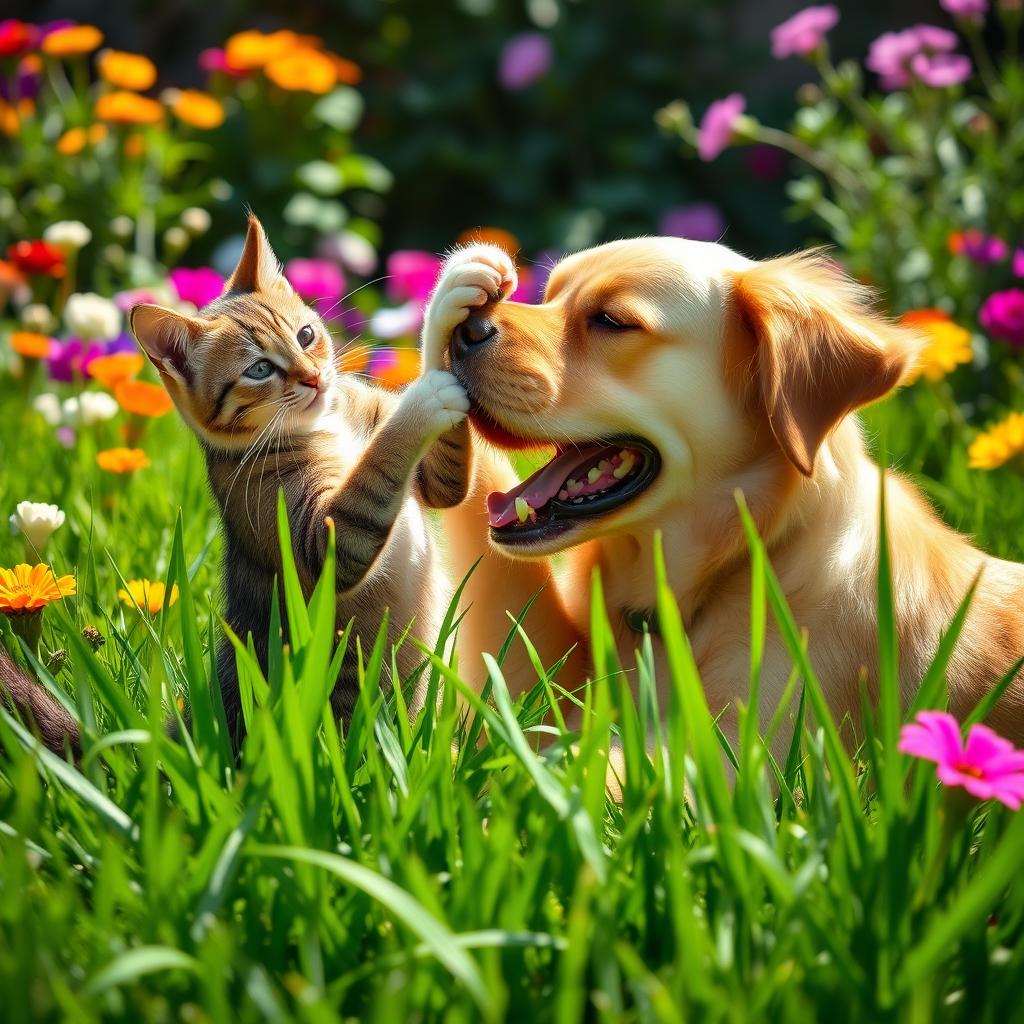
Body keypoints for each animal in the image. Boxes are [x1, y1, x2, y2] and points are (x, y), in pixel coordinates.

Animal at [129, 216, 475, 737]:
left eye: (306, 335)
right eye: (259, 369)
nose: (314, 378)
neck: (325, 423)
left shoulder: (427, 471)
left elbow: (446, 483)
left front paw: (453, 298)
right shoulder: (311, 535)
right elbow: (373, 475)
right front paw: (424, 398)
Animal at [423, 237, 1024, 753]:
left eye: (612, 321)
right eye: (549, 297)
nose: (468, 331)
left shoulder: (745, 761)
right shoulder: (550, 682)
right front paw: (452, 297)